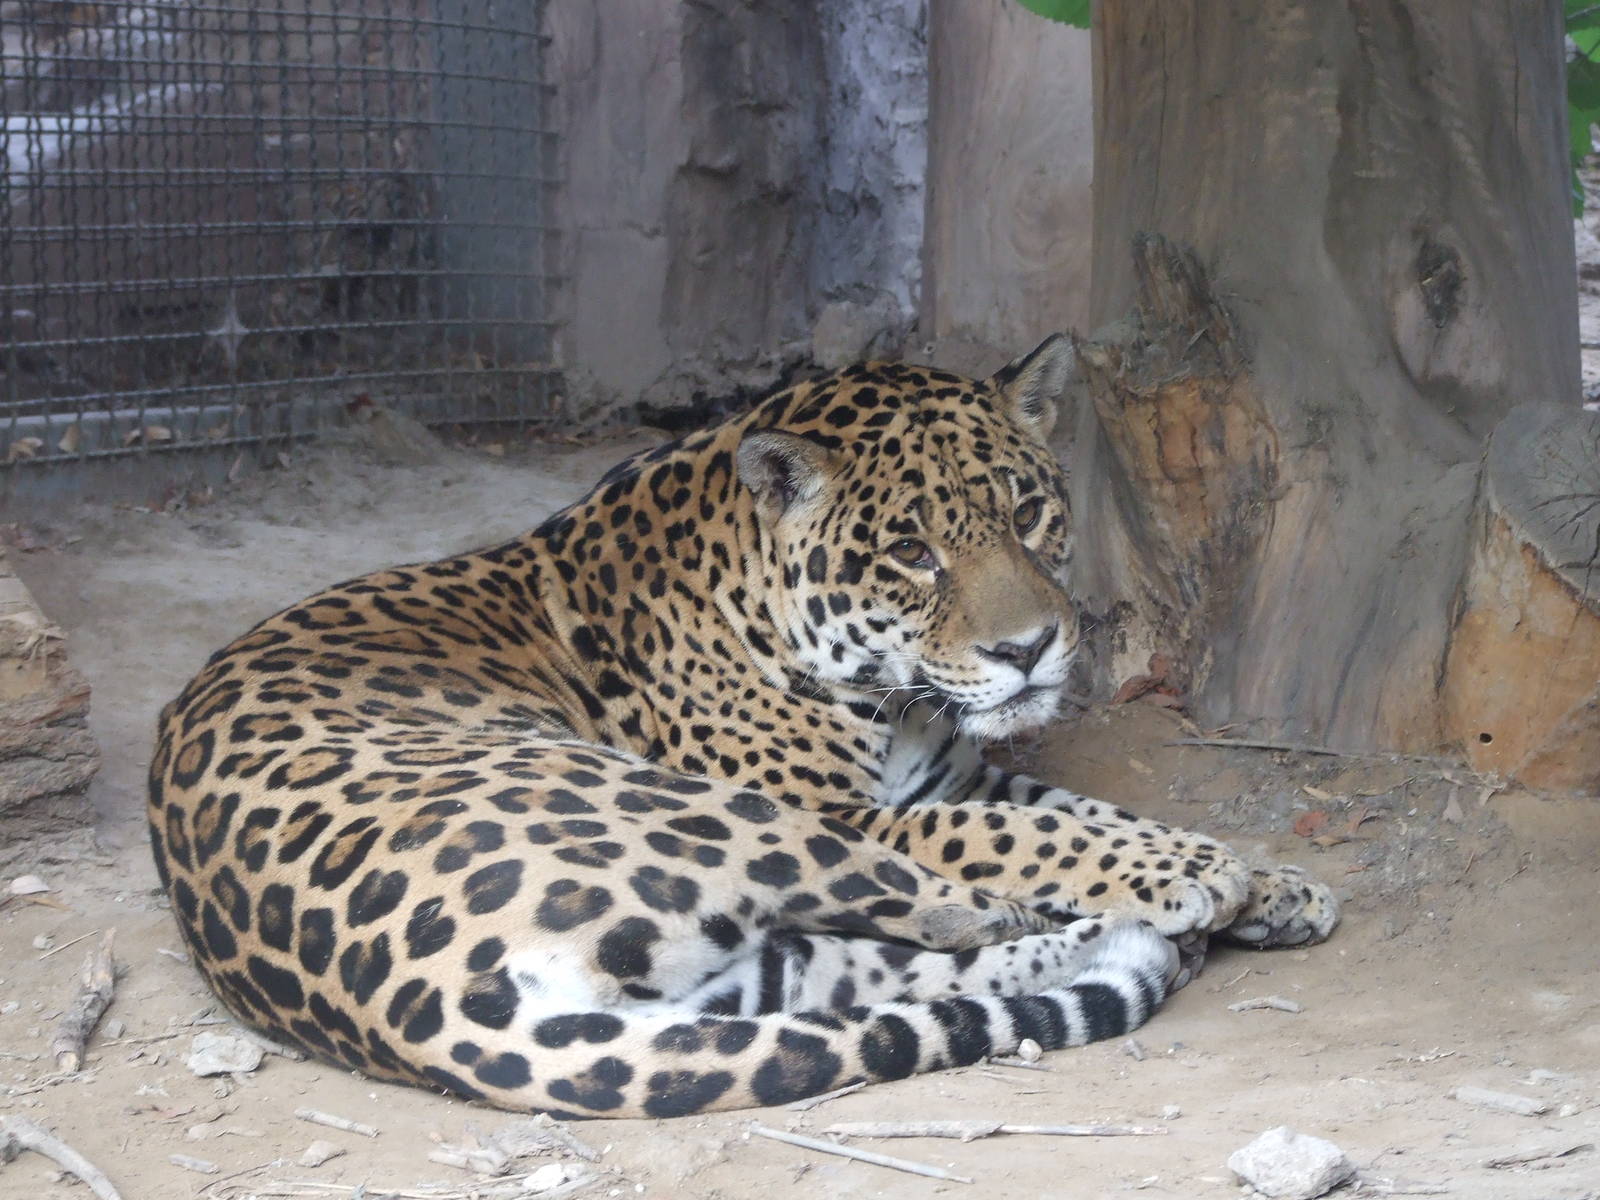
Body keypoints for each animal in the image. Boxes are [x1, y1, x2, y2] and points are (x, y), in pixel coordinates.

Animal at [148, 336, 1337, 1119]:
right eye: (910, 552)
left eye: (1028, 510)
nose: (1031, 647)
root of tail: (409, 1004)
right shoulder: (874, 811)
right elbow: (1029, 836)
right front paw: (1202, 872)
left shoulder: (952, 776)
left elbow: (1078, 813)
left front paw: (1275, 885)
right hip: (715, 812)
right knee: (943, 908)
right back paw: (1144, 930)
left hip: (736, 970)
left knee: (881, 969)